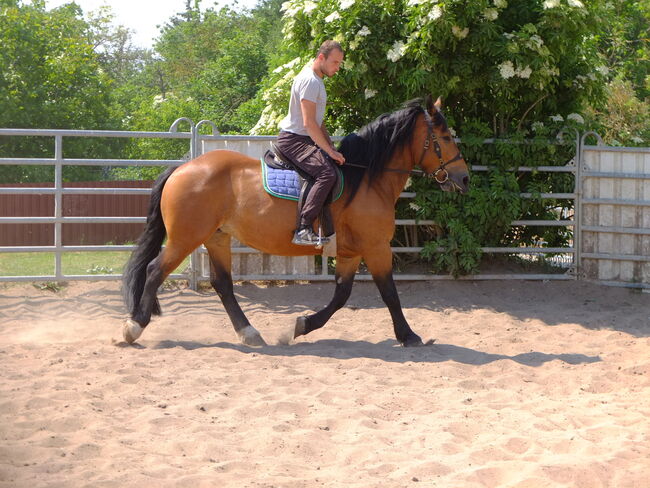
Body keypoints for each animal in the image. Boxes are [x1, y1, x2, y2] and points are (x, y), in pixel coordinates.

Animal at [120, 95, 466, 346]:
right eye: (445, 137)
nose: (463, 178)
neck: (366, 179)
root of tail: (182, 168)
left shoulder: (351, 253)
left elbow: (341, 295)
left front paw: (301, 325)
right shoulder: (376, 248)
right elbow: (389, 293)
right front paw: (409, 335)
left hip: (217, 237)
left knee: (222, 284)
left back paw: (249, 333)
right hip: (185, 238)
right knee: (155, 271)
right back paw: (134, 327)